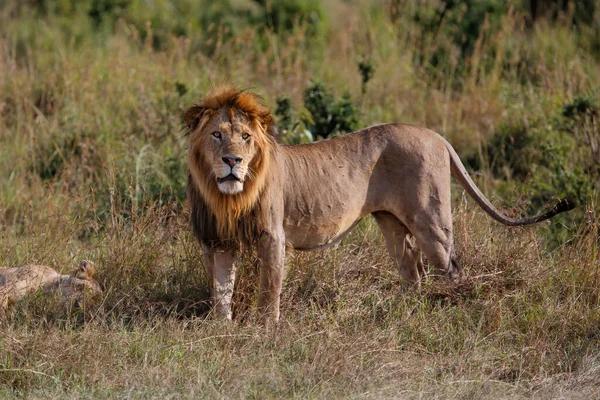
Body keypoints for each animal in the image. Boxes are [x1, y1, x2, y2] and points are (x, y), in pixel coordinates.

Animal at [184, 86, 576, 324]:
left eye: (246, 137)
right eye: (216, 135)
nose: (232, 160)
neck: (227, 197)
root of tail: (437, 136)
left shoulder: (273, 237)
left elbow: (269, 289)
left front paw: (267, 329)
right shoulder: (217, 241)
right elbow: (221, 290)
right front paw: (221, 329)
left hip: (431, 220)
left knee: (450, 268)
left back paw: (450, 309)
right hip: (391, 221)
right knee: (413, 271)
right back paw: (404, 312)